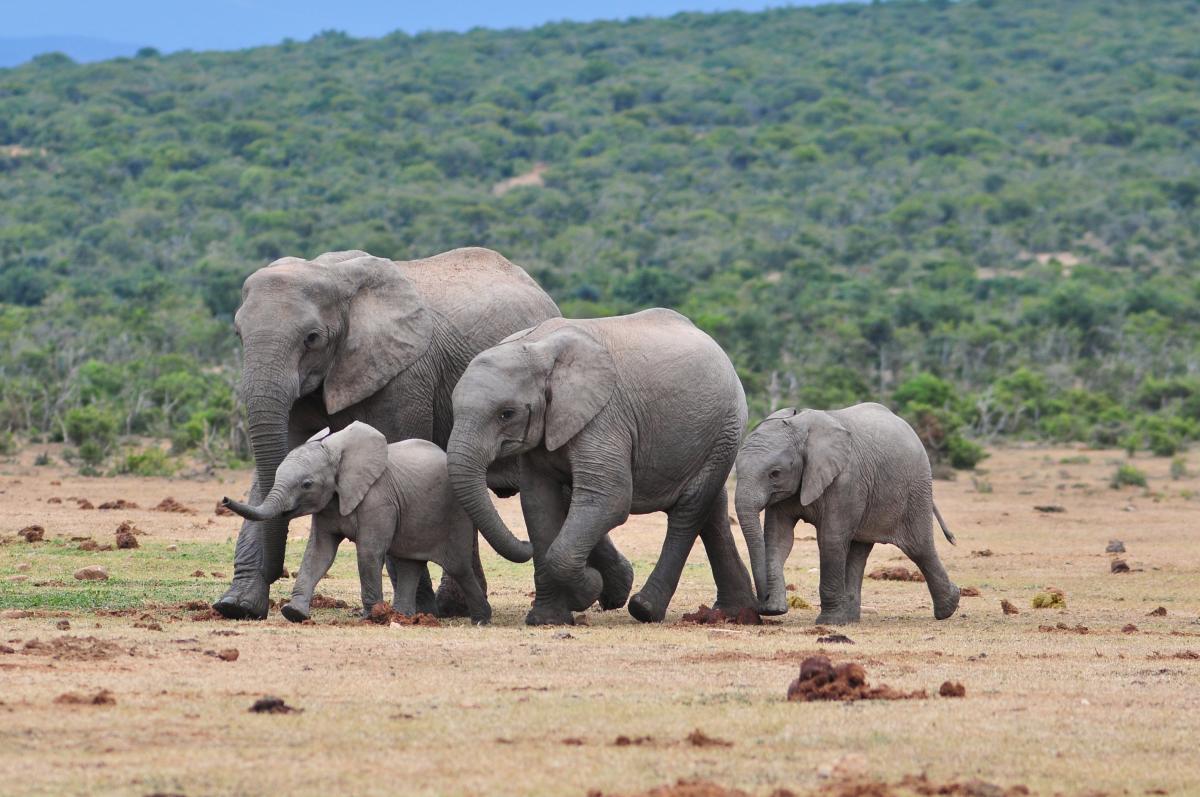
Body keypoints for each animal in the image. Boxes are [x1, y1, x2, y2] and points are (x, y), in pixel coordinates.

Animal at [223, 420, 518, 624]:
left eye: (307, 484)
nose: (225, 500)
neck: (336, 452)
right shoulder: (329, 505)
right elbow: (319, 554)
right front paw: (293, 613)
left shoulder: (378, 500)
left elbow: (368, 552)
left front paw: (371, 618)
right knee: (408, 562)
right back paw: (403, 617)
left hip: (455, 513)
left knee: (458, 565)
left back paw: (480, 618)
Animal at [446, 307, 753, 624]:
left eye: (506, 414)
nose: (522, 544)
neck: (537, 349)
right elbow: (538, 503)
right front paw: (546, 619)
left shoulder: (604, 416)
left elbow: (609, 498)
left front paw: (588, 590)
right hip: (714, 435)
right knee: (712, 506)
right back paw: (734, 612)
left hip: (726, 424)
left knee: (688, 510)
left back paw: (645, 608)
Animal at [729, 400, 955, 624]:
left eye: (775, 474)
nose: (762, 601)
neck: (800, 427)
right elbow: (779, 538)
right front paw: (775, 610)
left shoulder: (845, 480)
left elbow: (831, 539)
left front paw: (828, 622)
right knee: (859, 552)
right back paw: (850, 619)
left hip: (916, 488)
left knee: (919, 547)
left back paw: (948, 608)